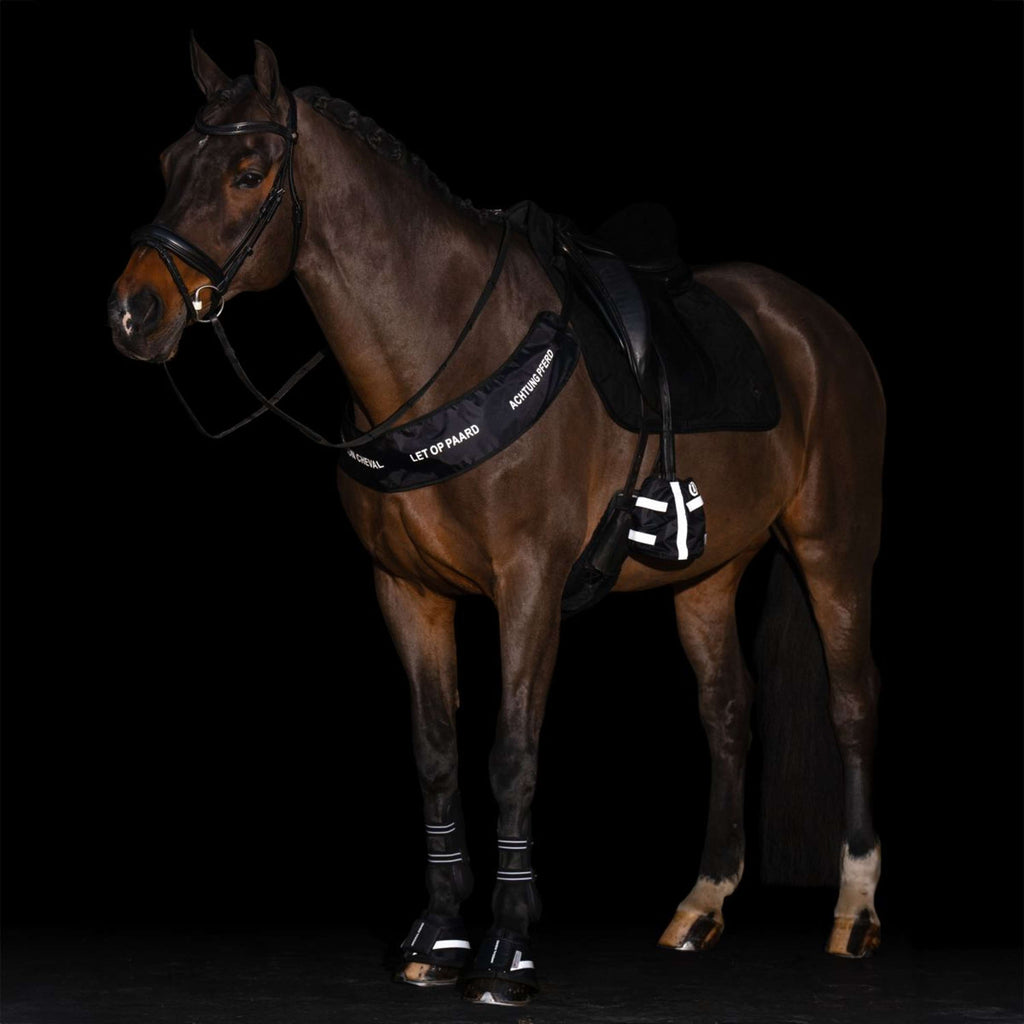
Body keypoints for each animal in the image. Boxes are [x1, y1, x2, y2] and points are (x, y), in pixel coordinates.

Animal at [108, 38, 886, 1006]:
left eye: (249, 173)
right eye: (168, 163)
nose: (133, 311)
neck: (448, 359)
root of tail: (817, 326)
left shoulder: (530, 587)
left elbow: (511, 754)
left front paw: (507, 949)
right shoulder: (408, 592)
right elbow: (437, 753)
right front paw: (437, 937)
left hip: (834, 549)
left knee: (851, 705)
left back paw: (855, 911)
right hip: (707, 576)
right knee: (727, 713)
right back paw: (701, 904)